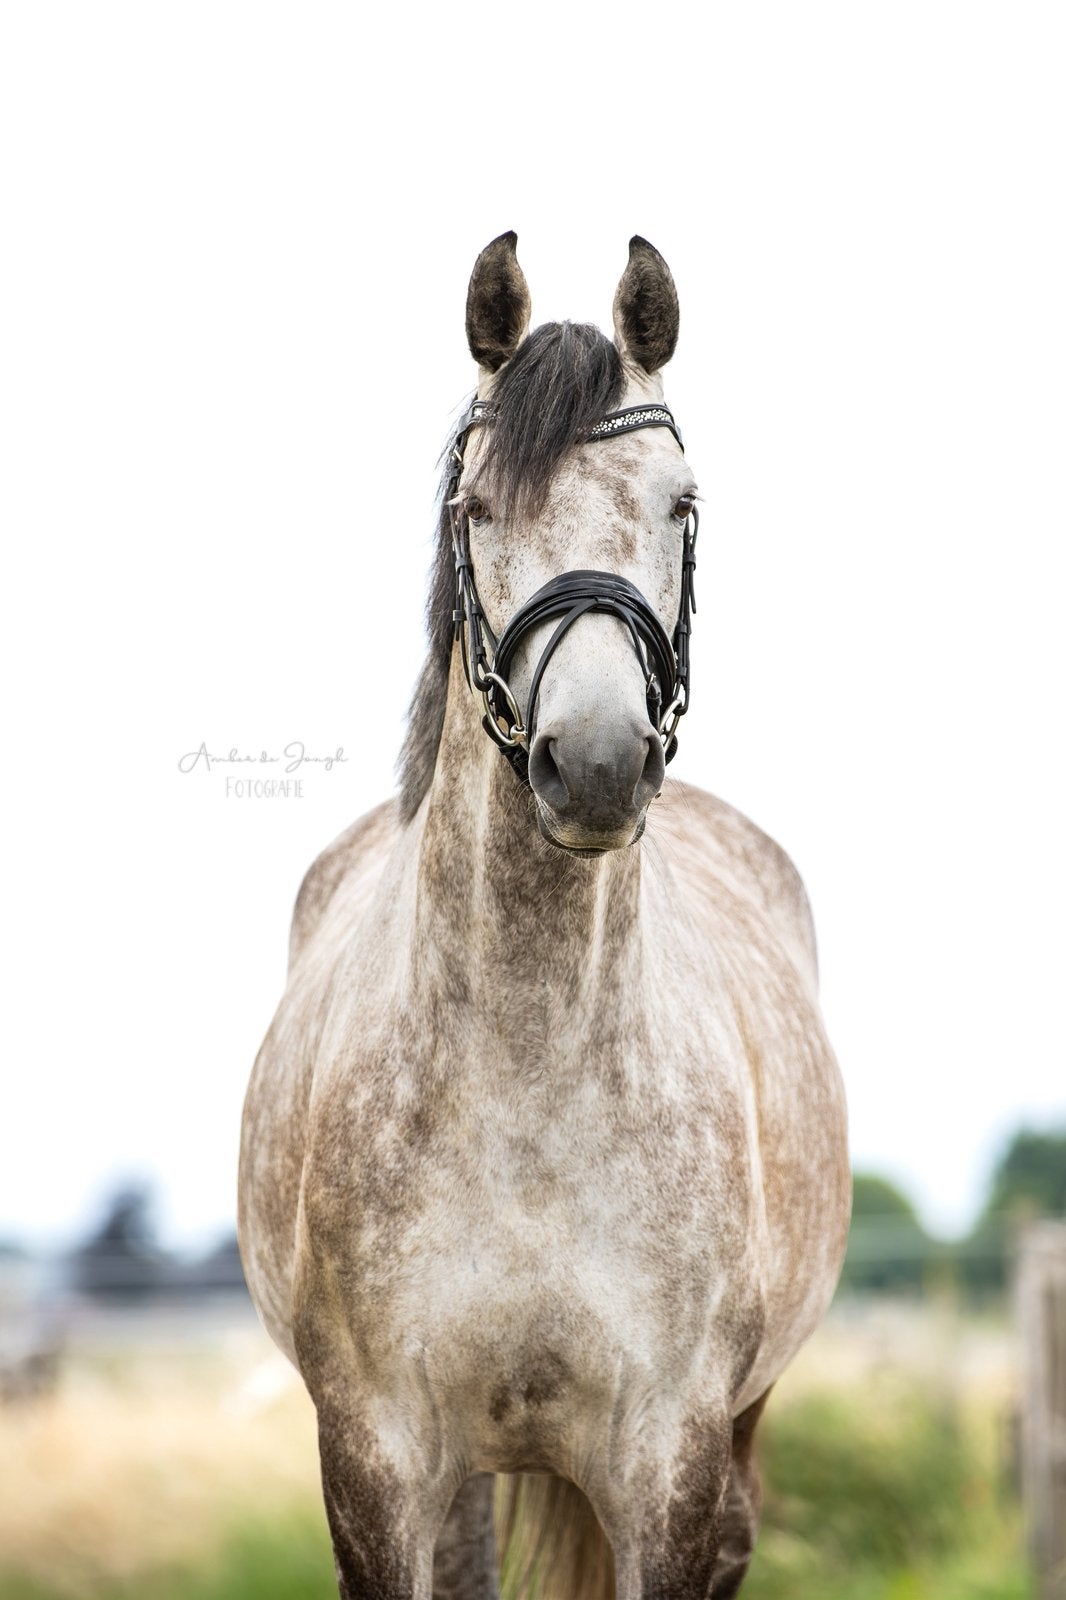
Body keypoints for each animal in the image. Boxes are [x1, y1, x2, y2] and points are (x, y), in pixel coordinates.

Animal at [238, 231, 850, 1600]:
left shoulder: (668, 1464)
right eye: (475, 511)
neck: (528, 1071)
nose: (600, 760)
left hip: (740, 1426)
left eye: (682, 504)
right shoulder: (376, 1462)